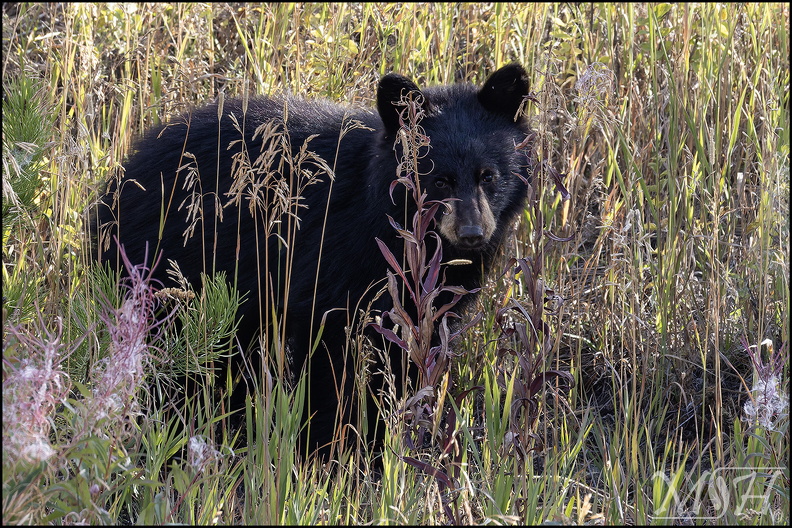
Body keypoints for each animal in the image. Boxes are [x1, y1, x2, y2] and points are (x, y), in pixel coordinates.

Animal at [92, 63, 535, 460]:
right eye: (439, 179)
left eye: (489, 175)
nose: (472, 233)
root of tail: (117, 180)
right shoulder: (333, 259)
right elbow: (332, 354)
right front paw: (335, 449)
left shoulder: (425, 295)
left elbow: (408, 350)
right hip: (169, 261)